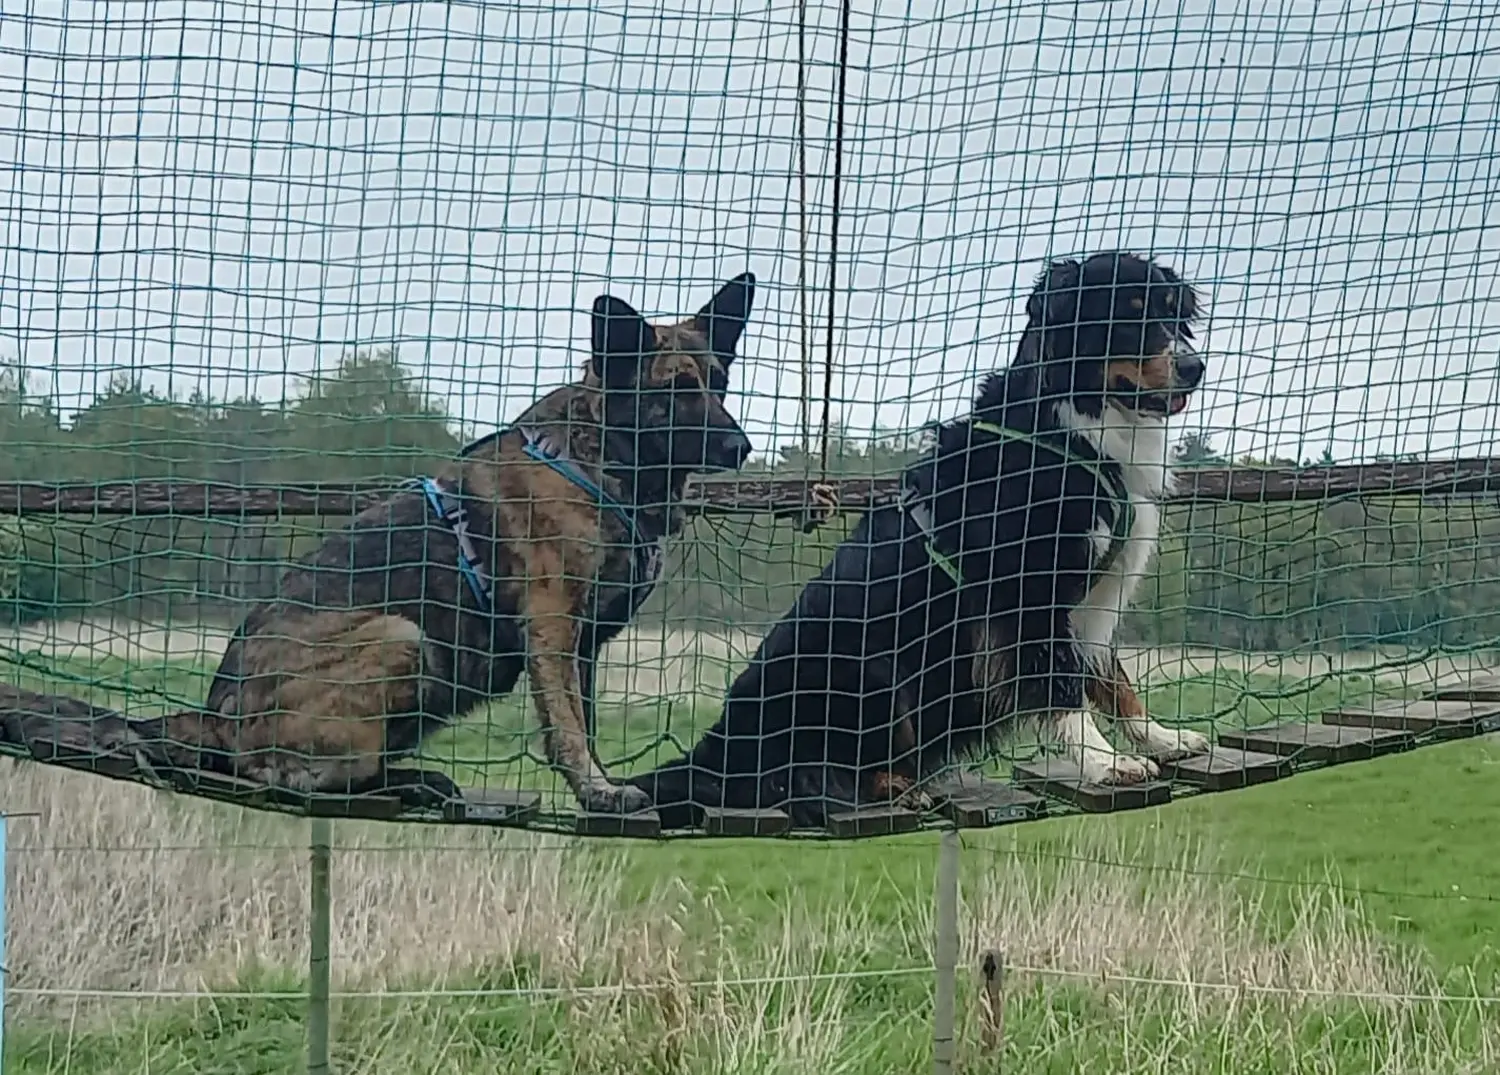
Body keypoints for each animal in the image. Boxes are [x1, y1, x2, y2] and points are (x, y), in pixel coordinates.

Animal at [630, 253, 1206, 827]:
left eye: (1171, 313)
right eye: (1128, 316)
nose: (1195, 367)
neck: (1071, 431)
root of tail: (719, 748)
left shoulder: (1092, 603)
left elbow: (1114, 680)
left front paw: (1162, 738)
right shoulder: (1026, 595)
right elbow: (1062, 686)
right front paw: (1107, 763)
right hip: (868, 669)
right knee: (800, 779)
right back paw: (896, 788)